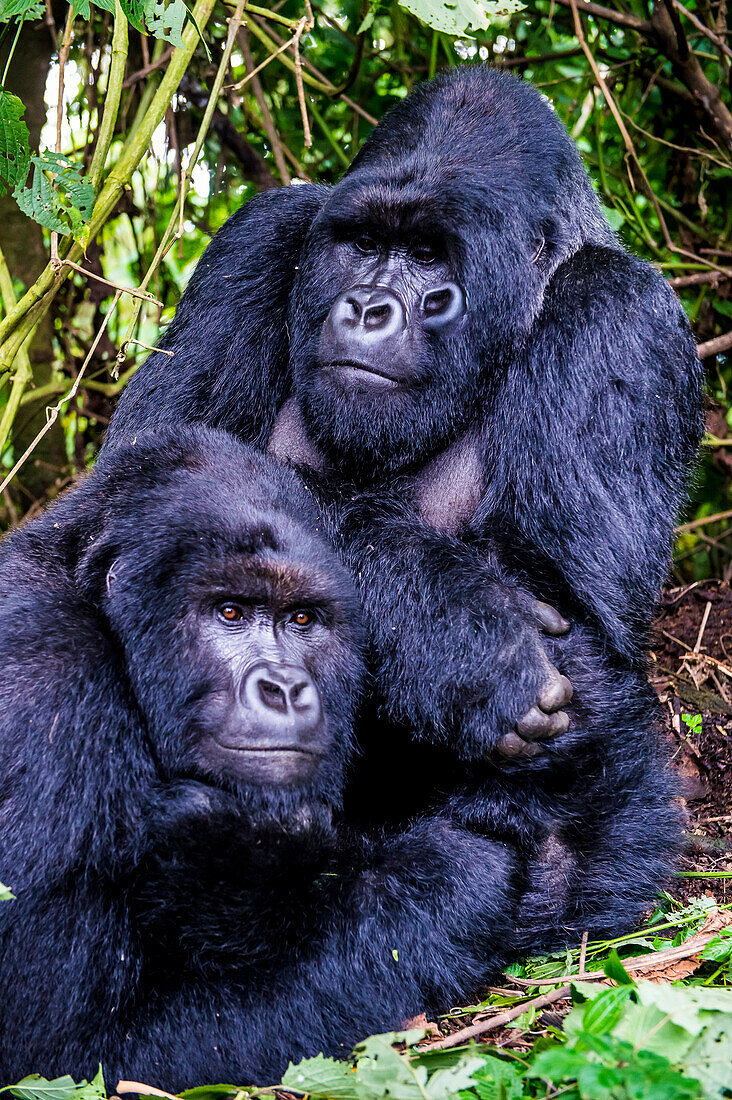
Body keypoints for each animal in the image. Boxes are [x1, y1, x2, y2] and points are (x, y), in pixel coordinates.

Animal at [0, 424, 519, 1086]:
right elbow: (71, 1051)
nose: (286, 688)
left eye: (302, 619)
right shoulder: (49, 688)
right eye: (230, 611)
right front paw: (452, 877)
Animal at [104, 68, 704, 941]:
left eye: (426, 255)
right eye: (361, 246)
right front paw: (465, 635)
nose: (366, 308)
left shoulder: (623, 311)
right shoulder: (258, 237)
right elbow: (148, 476)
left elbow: (582, 635)